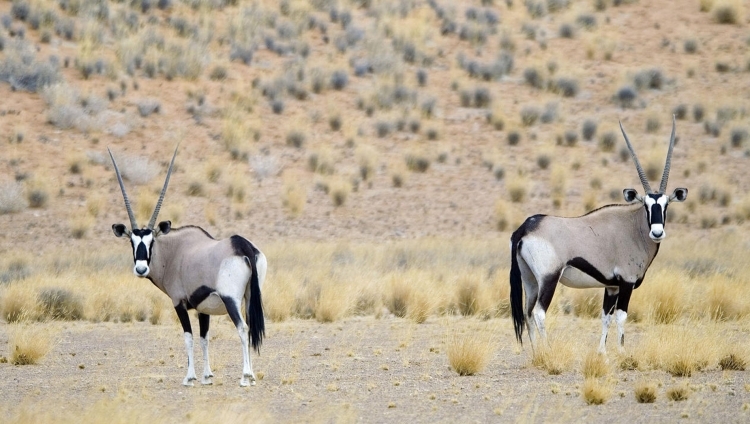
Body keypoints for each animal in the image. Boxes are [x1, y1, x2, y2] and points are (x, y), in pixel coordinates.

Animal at [108, 147, 268, 388]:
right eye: (132, 242)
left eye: (151, 241)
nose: (141, 269)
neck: (174, 251)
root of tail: (242, 245)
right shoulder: (203, 308)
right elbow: (204, 338)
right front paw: (207, 376)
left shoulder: (179, 303)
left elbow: (189, 337)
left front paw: (190, 377)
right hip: (250, 297)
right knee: (250, 329)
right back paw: (252, 377)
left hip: (231, 299)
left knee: (243, 328)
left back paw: (245, 376)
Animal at [516, 116, 692, 352]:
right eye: (646, 205)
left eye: (666, 205)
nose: (657, 232)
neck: (632, 227)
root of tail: (527, 226)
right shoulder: (626, 282)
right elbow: (621, 316)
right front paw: (622, 352)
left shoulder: (611, 286)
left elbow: (605, 317)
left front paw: (603, 353)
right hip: (548, 278)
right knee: (538, 313)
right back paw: (548, 352)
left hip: (530, 280)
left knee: (527, 313)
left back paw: (536, 354)